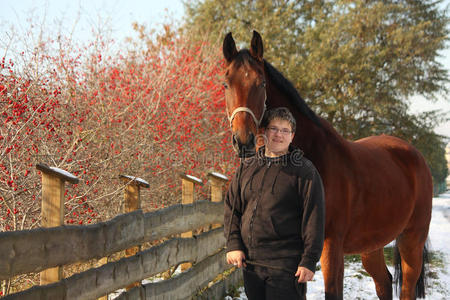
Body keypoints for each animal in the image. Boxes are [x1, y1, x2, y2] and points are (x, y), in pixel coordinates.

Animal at [221, 31, 432, 300]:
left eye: (261, 84)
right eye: (226, 84)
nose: (242, 140)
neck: (313, 153)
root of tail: (415, 156)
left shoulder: (330, 246)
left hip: (411, 240)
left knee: (406, 287)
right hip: (372, 245)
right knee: (384, 282)